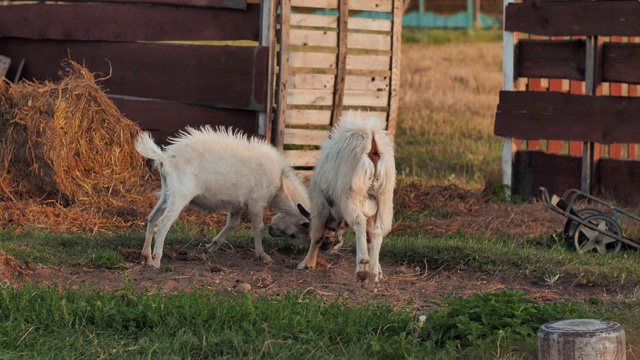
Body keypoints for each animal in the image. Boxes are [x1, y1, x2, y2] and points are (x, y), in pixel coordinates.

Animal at [136, 125, 312, 268]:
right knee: (163, 223)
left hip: (167, 192)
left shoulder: (238, 204)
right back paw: (156, 260)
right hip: (180, 194)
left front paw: (212, 246)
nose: (271, 231)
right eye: (294, 234)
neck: (281, 181)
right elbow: (257, 227)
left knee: (152, 218)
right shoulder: (256, 202)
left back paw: (147, 257)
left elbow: (233, 223)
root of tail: (165, 158)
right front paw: (262, 255)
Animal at [298, 109, 396, 282]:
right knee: (377, 231)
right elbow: (370, 236)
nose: (327, 247)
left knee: (359, 222)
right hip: (384, 197)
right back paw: (372, 272)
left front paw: (307, 263)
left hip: (351, 195)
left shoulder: (320, 205)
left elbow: (316, 235)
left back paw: (362, 266)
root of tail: (372, 142)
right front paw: (378, 270)